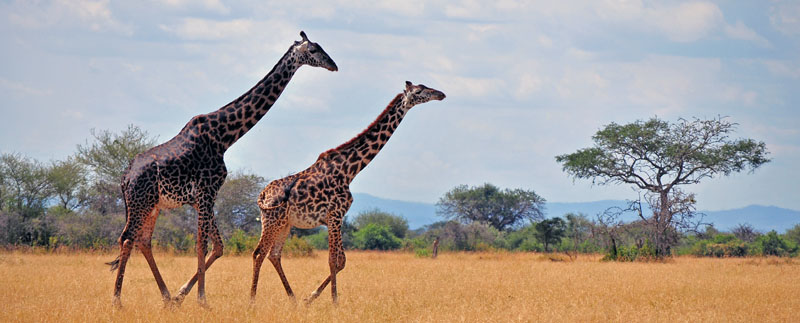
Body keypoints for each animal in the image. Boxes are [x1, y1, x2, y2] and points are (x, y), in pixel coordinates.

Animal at [107, 32, 338, 308]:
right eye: (313, 50)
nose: (333, 65)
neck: (224, 137)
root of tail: (125, 178)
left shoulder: (201, 198)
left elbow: (218, 247)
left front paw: (181, 295)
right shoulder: (207, 192)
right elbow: (202, 245)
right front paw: (202, 300)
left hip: (152, 205)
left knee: (142, 241)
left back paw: (166, 297)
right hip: (141, 203)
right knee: (127, 238)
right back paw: (117, 301)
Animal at [252, 81, 444, 306]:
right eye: (420, 90)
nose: (441, 94)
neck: (350, 170)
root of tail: (263, 195)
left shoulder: (334, 218)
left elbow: (341, 261)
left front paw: (311, 298)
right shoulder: (335, 215)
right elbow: (334, 260)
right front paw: (333, 301)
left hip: (284, 224)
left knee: (274, 255)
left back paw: (294, 299)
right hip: (272, 220)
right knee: (259, 253)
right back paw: (252, 300)